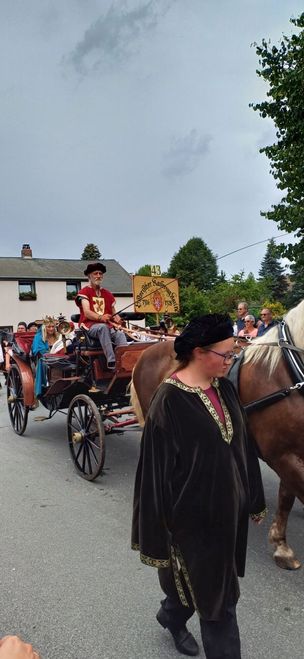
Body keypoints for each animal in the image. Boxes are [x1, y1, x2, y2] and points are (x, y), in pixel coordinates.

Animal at [132, 302, 304, 568]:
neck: (287, 369)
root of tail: (150, 348)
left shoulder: (291, 450)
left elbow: (286, 496)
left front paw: (281, 546)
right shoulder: (282, 455)